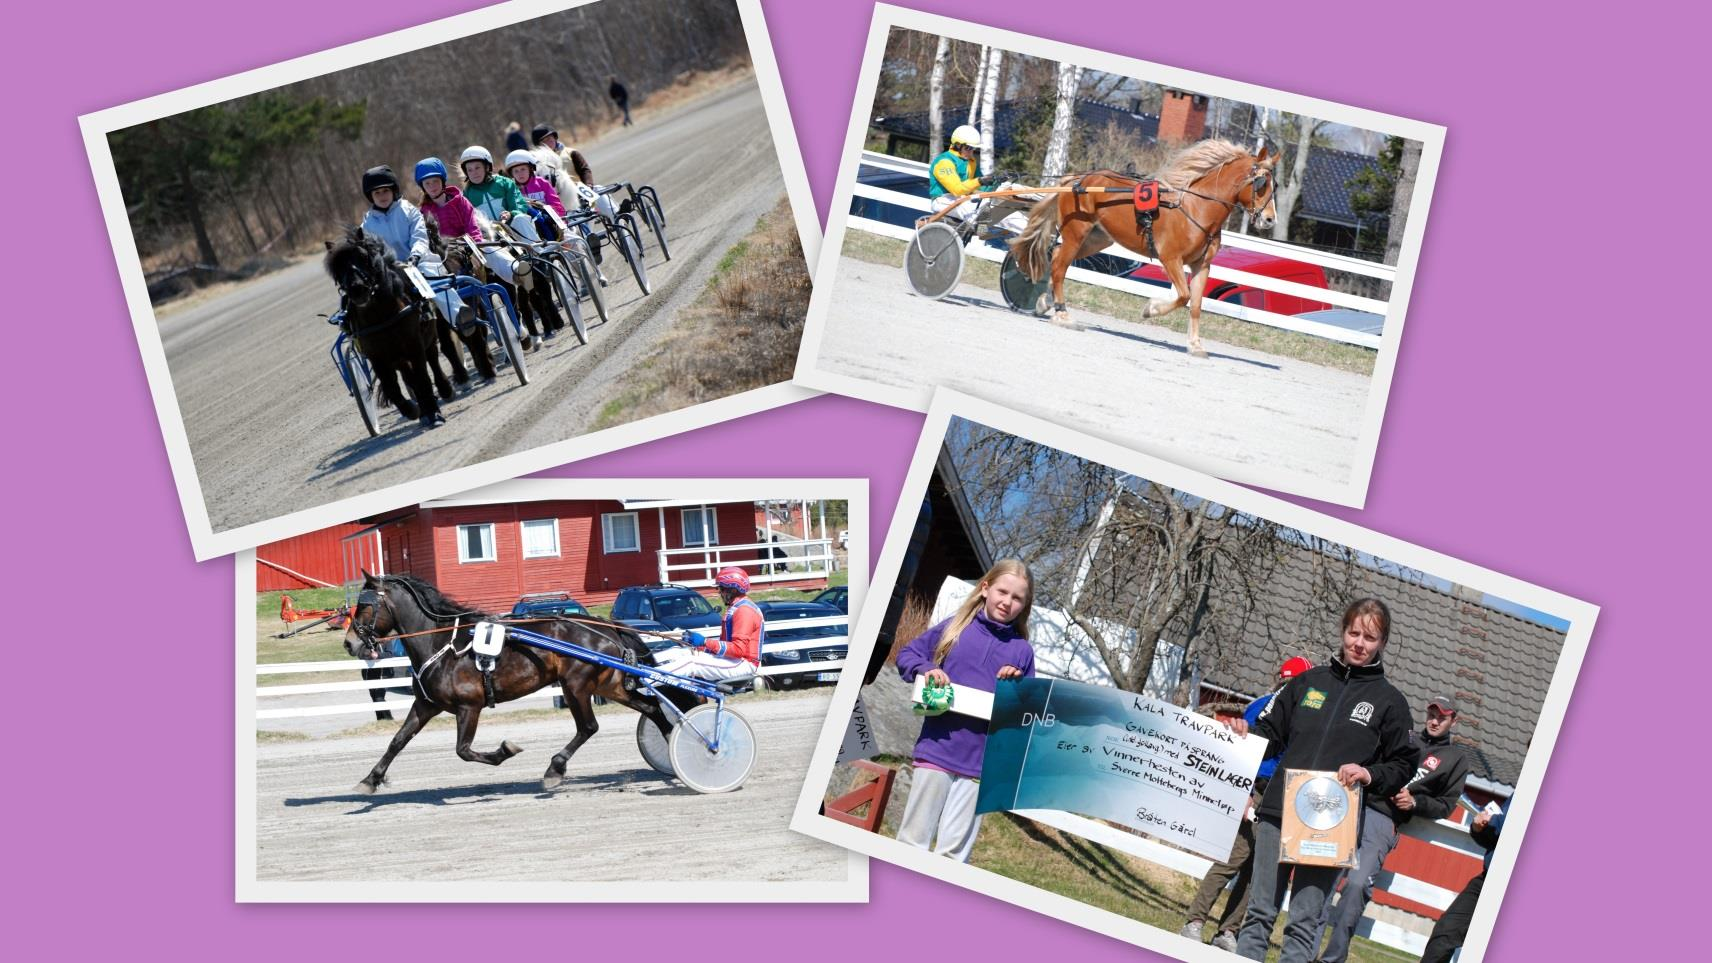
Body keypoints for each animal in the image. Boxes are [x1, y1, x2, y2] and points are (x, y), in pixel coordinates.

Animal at [323, 226, 451, 424]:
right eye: (337, 267)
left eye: (363, 257)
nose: (357, 289)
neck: (380, 316)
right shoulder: (376, 355)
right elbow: (392, 387)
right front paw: (412, 409)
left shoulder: (414, 344)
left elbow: (422, 377)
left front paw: (434, 413)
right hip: (397, 356)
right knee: (408, 376)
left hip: (427, 336)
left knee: (433, 359)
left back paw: (444, 388)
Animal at [340, 572, 695, 791]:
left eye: (365, 605)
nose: (349, 643)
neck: (442, 643)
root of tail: (606, 626)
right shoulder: (426, 704)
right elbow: (397, 741)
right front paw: (370, 780)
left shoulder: (469, 706)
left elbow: (463, 750)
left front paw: (505, 750)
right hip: (610, 685)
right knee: (652, 708)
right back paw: (677, 748)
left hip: (576, 685)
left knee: (588, 727)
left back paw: (555, 769)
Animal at [1006, 138, 1280, 356]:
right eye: (1260, 184)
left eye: (1273, 185)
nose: (1269, 220)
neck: (1195, 208)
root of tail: (1076, 179)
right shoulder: (1170, 258)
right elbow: (1183, 296)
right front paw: (1151, 309)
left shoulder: (1202, 265)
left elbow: (1196, 305)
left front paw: (1195, 345)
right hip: (1076, 233)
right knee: (1060, 267)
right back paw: (1062, 313)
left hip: (1097, 239)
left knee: (1056, 259)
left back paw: (1046, 302)